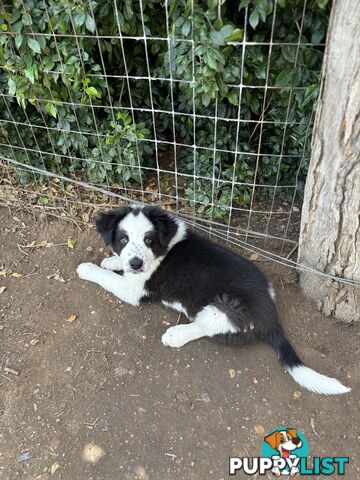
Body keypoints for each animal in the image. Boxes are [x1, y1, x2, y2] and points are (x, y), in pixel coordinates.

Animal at [77, 204, 350, 396]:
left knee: (203, 326)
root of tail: (271, 317)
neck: (163, 248)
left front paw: (88, 268)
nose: (135, 263)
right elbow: (115, 265)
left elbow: (107, 278)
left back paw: (175, 335)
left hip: (224, 309)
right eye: (123, 239)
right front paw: (112, 260)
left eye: (148, 240)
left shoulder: (133, 289)